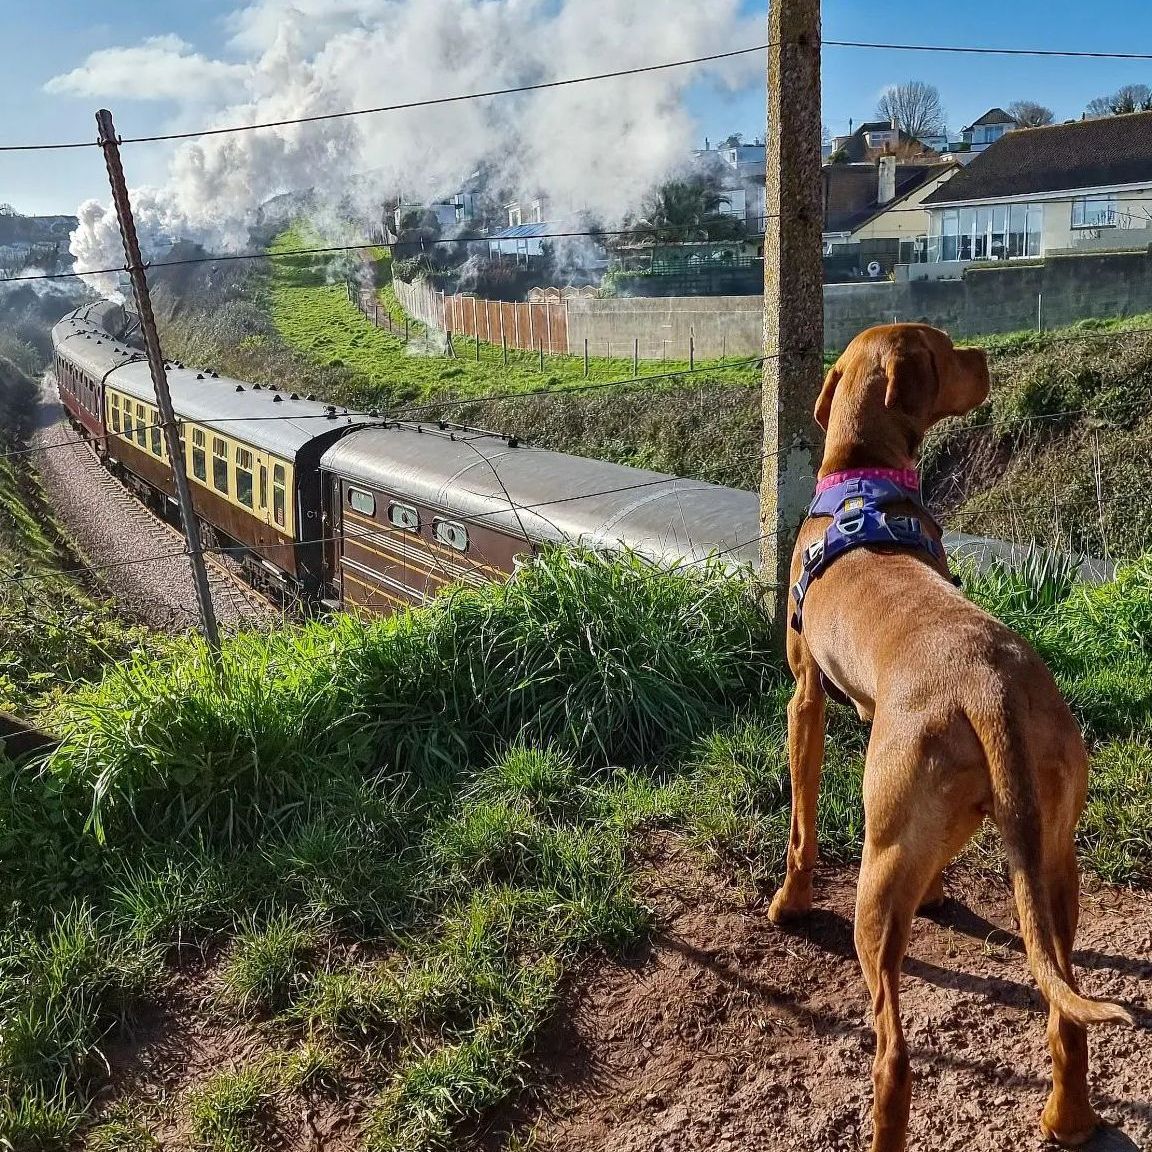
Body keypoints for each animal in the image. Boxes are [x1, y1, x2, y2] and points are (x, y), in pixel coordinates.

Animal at [769, 324, 1128, 1152]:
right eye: (947, 349)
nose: (988, 358)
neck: (861, 482)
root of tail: (991, 686)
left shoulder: (807, 697)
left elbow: (801, 821)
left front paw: (790, 901)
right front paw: (937, 893)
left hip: (878, 868)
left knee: (893, 1056)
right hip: (1051, 857)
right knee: (1065, 1007)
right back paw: (1068, 1118)